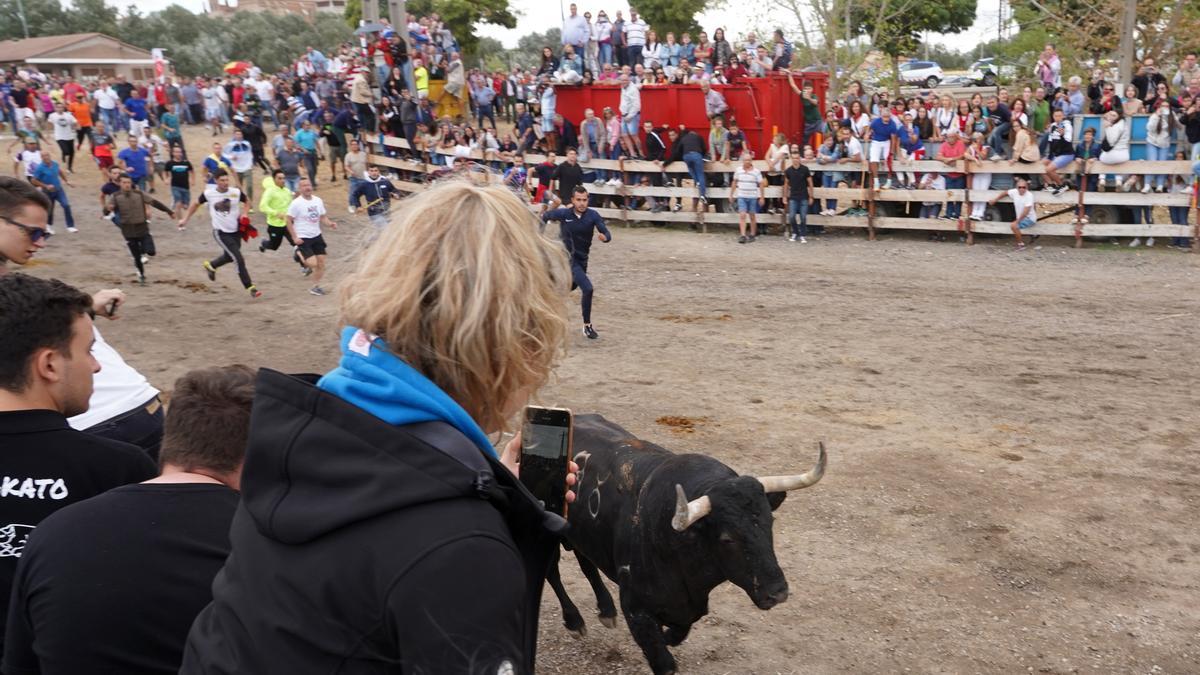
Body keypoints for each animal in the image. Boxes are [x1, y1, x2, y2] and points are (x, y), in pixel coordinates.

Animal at [544, 413, 825, 667]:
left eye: (770, 522)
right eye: (727, 539)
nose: (778, 593)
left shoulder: (689, 607)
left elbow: (683, 627)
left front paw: (670, 635)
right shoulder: (636, 609)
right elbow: (664, 661)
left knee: (586, 561)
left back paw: (606, 610)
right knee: (553, 572)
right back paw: (574, 621)